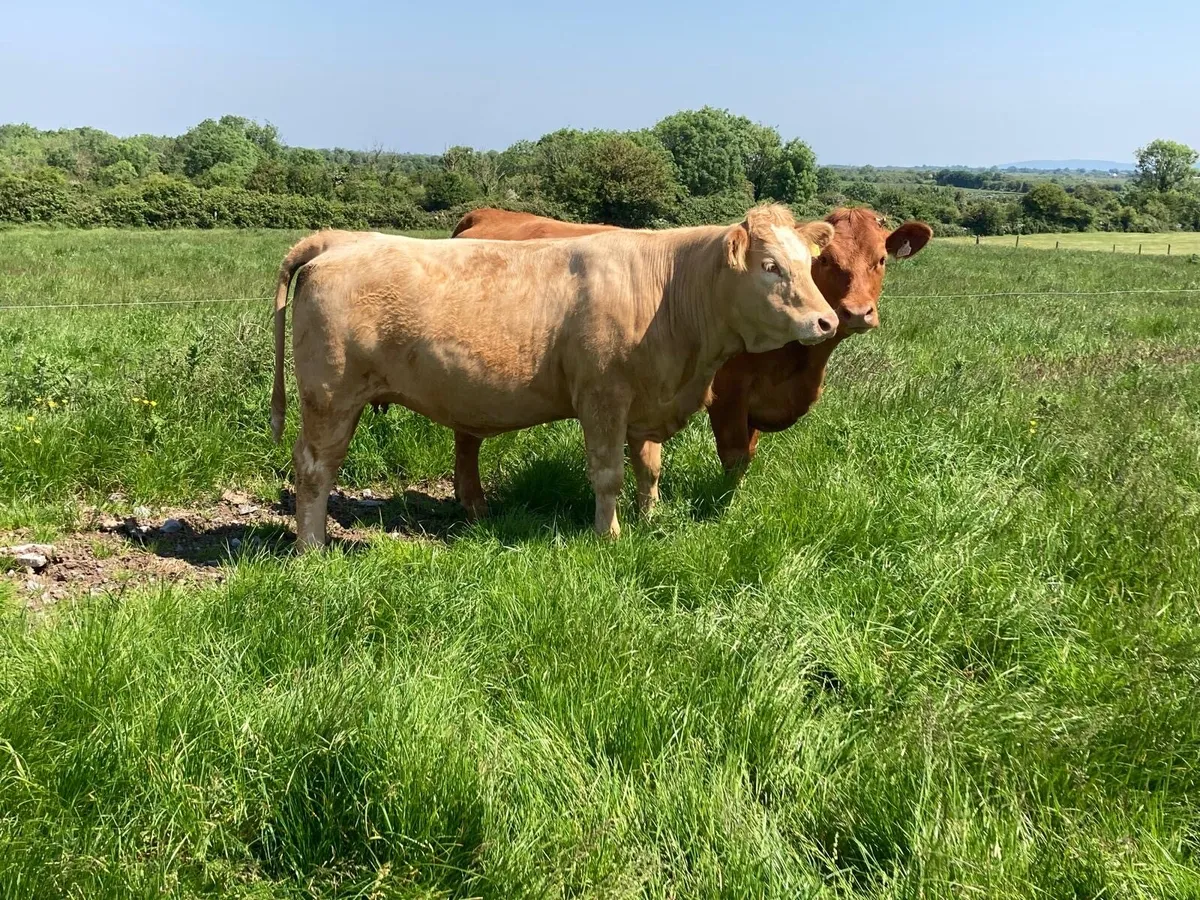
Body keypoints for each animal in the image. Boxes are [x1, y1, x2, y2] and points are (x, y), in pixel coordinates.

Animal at [272, 204, 838, 547]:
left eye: (809, 264)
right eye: (770, 266)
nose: (826, 320)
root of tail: (340, 239)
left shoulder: (646, 400)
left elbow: (648, 469)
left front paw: (650, 520)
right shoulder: (603, 397)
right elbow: (608, 474)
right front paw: (608, 537)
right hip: (330, 396)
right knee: (315, 467)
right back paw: (311, 548)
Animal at [448, 206, 932, 503]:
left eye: (881, 260)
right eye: (827, 261)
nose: (856, 313)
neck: (797, 368)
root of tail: (486, 213)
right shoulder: (728, 396)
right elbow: (735, 457)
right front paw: (726, 506)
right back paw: (473, 501)